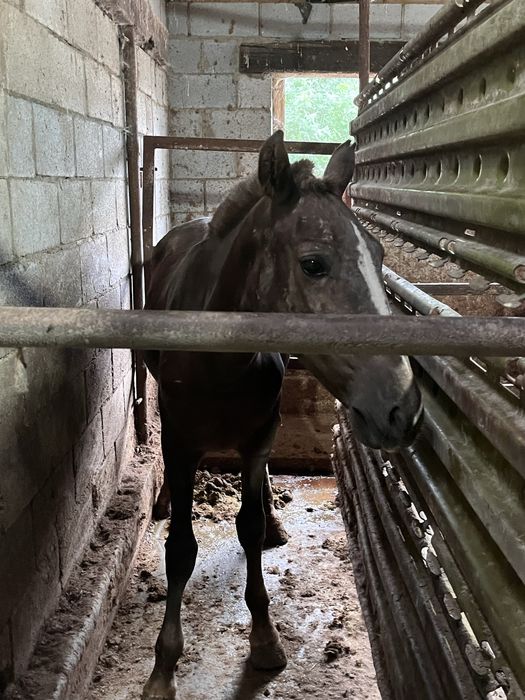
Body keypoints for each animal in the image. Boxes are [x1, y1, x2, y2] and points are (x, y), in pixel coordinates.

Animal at [142, 131, 423, 699]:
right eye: (314, 263)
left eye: (379, 254)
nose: (401, 406)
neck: (219, 359)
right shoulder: (180, 442)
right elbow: (179, 548)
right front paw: (164, 666)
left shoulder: (258, 439)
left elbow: (248, 528)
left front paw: (266, 639)